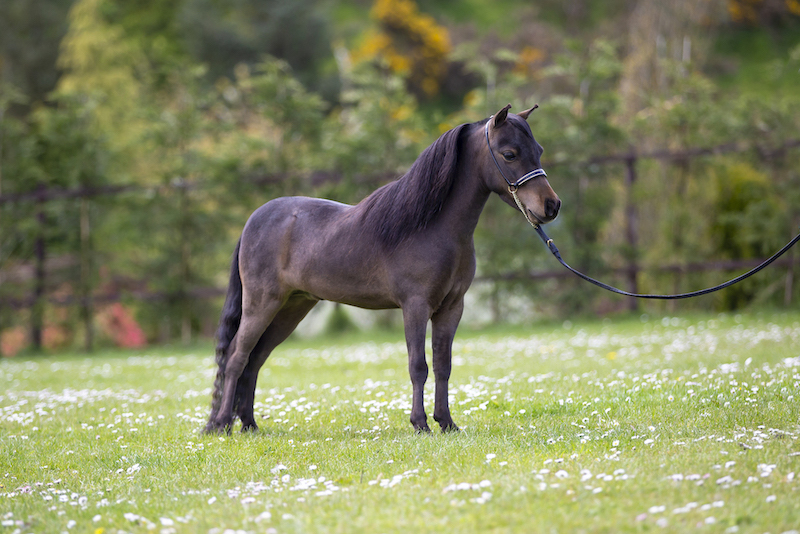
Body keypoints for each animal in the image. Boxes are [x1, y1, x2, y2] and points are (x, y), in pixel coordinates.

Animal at [204, 104, 561, 434]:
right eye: (509, 154)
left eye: (539, 150)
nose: (552, 206)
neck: (432, 226)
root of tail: (254, 220)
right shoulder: (415, 306)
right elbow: (419, 365)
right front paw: (420, 424)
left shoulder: (451, 309)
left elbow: (443, 365)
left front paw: (446, 422)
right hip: (261, 304)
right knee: (236, 356)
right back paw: (221, 424)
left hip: (291, 308)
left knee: (255, 359)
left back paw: (248, 424)